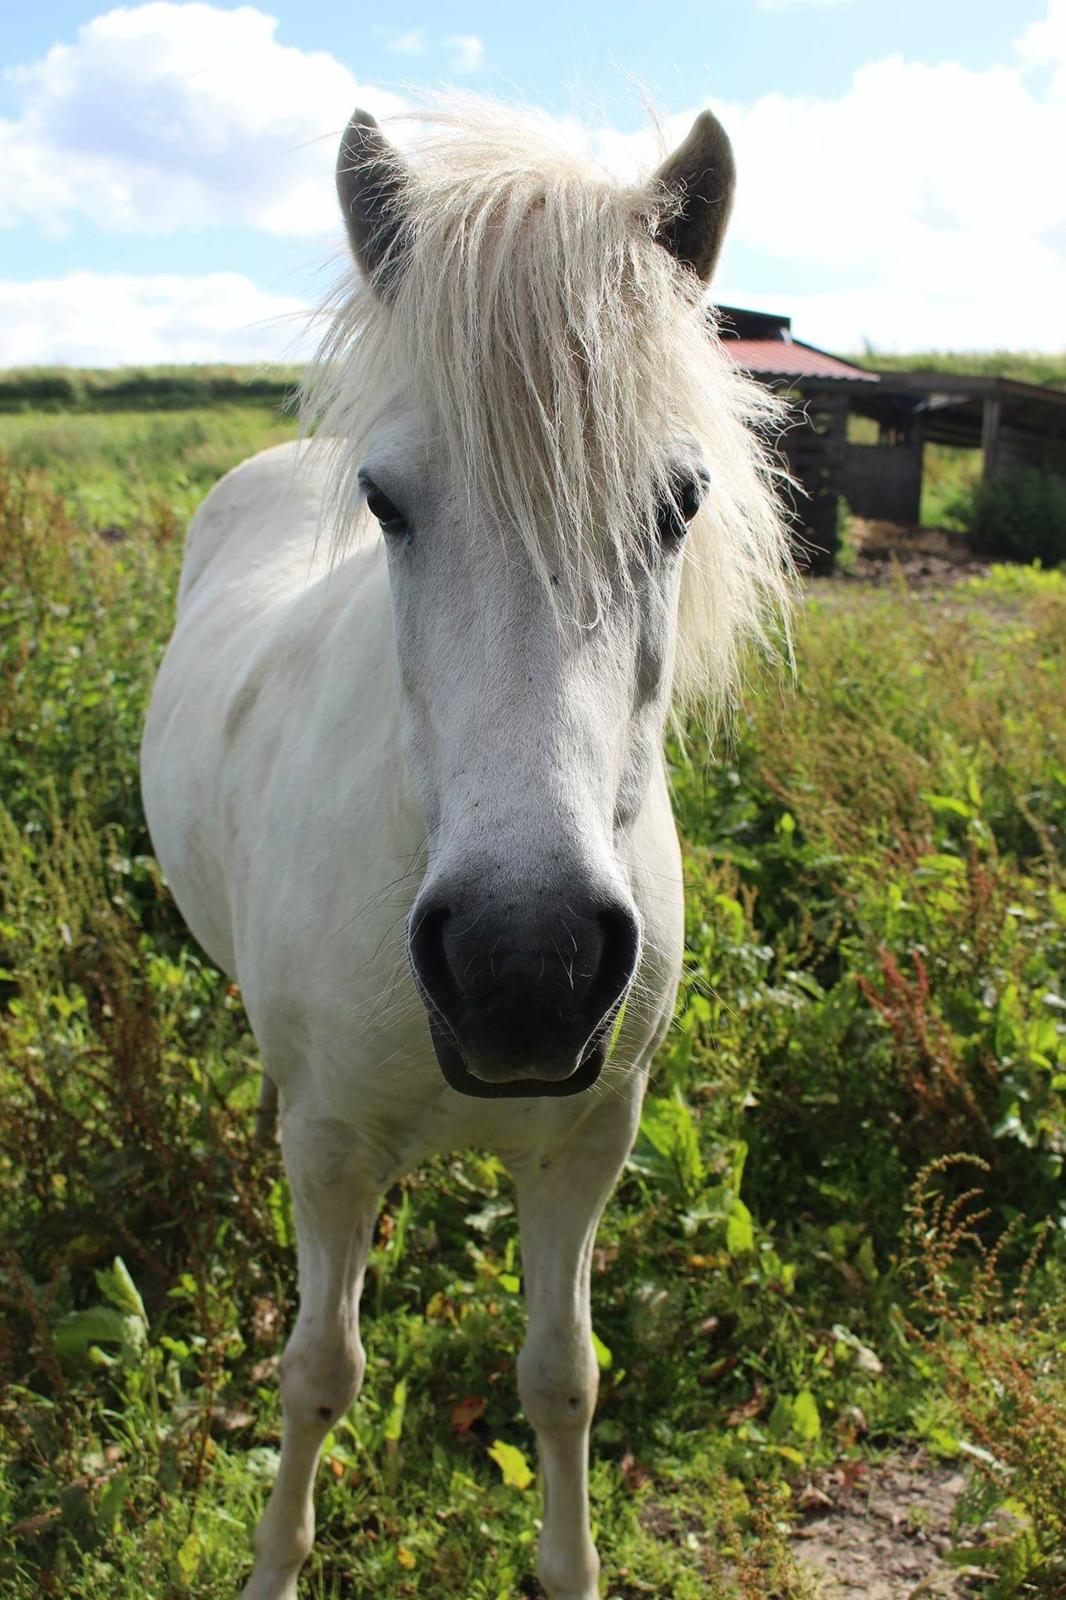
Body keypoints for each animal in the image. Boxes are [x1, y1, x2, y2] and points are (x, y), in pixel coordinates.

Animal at [140, 96, 787, 1600]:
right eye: (385, 503)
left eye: (679, 505)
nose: (522, 968)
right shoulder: (327, 1148)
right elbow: (317, 1371)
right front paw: (273, 1567)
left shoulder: (588, 1141)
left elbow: (563, 1378)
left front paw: (568, 1567)